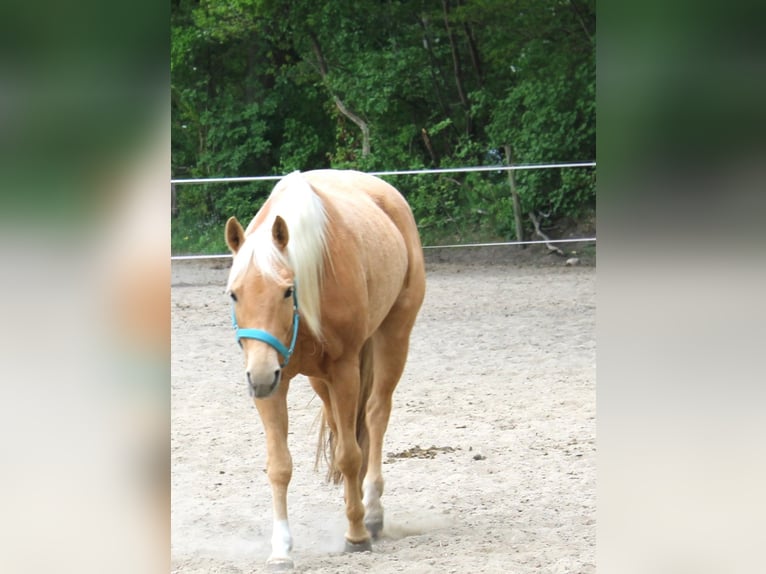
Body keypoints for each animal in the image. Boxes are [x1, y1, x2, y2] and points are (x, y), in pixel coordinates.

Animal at [224, 169, 426, 569]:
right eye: (234, 293)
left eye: (287, 291)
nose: (259, 377)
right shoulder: (275, 383)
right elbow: (280, 465)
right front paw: (281, 550)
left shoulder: (345, 371)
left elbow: (350, 455)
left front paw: (357, 535)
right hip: (319, 379)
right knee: (339, 423)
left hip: (394, 336)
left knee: (375, 414)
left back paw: (372, 511)